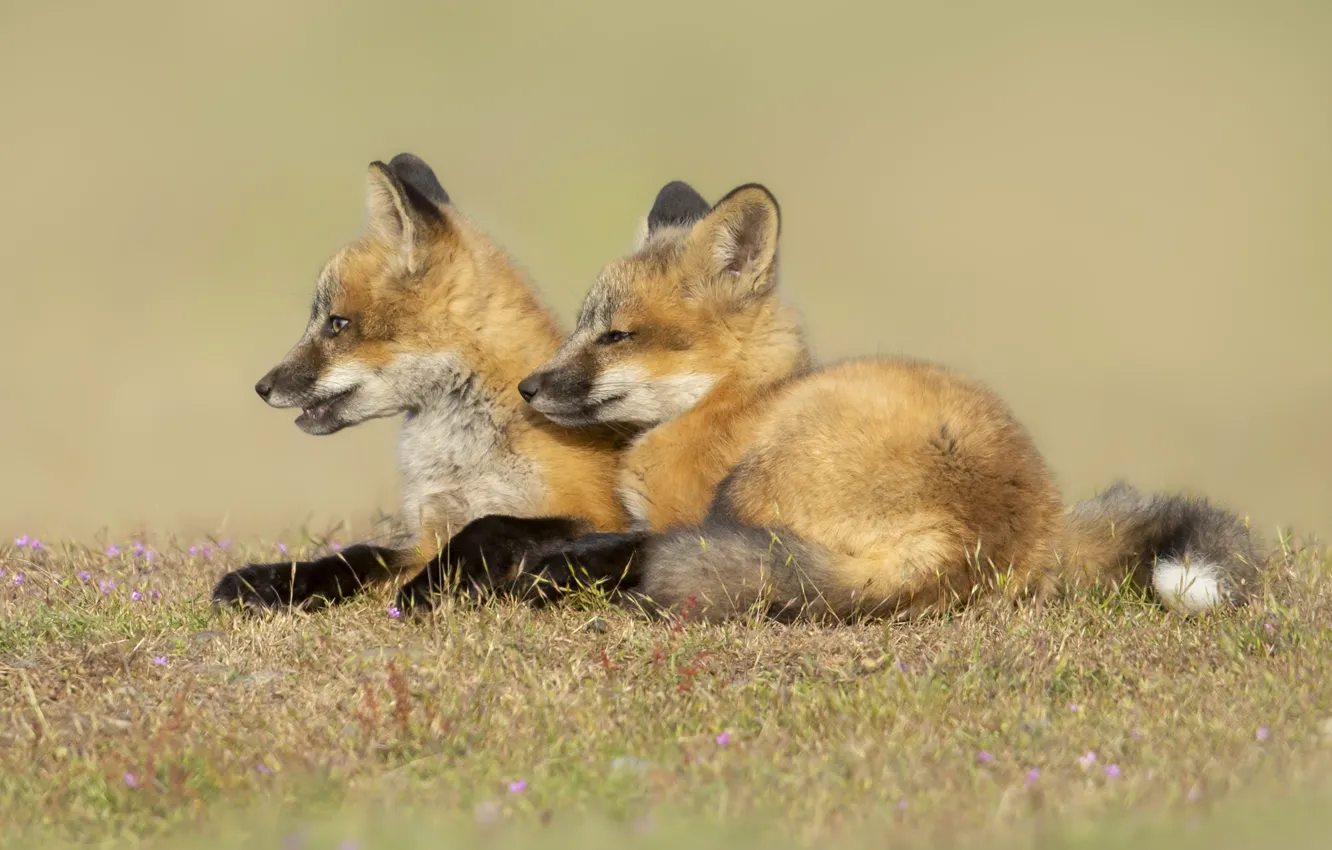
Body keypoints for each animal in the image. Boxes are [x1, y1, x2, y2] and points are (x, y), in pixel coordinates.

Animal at [210, 153, 628, 613]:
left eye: (337, 324)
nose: (263, 387)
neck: (464, 461)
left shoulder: (599, 514)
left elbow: (492, 525)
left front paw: (431, 587)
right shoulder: (429, 533)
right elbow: (357, 555)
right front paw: (273, 582)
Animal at [409, 179, 1264, 623]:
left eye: (615, 336)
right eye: (584, 326)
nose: (529, 386)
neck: (726, 407)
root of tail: (989, 536)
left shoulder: (684, 507)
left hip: (758, 482)